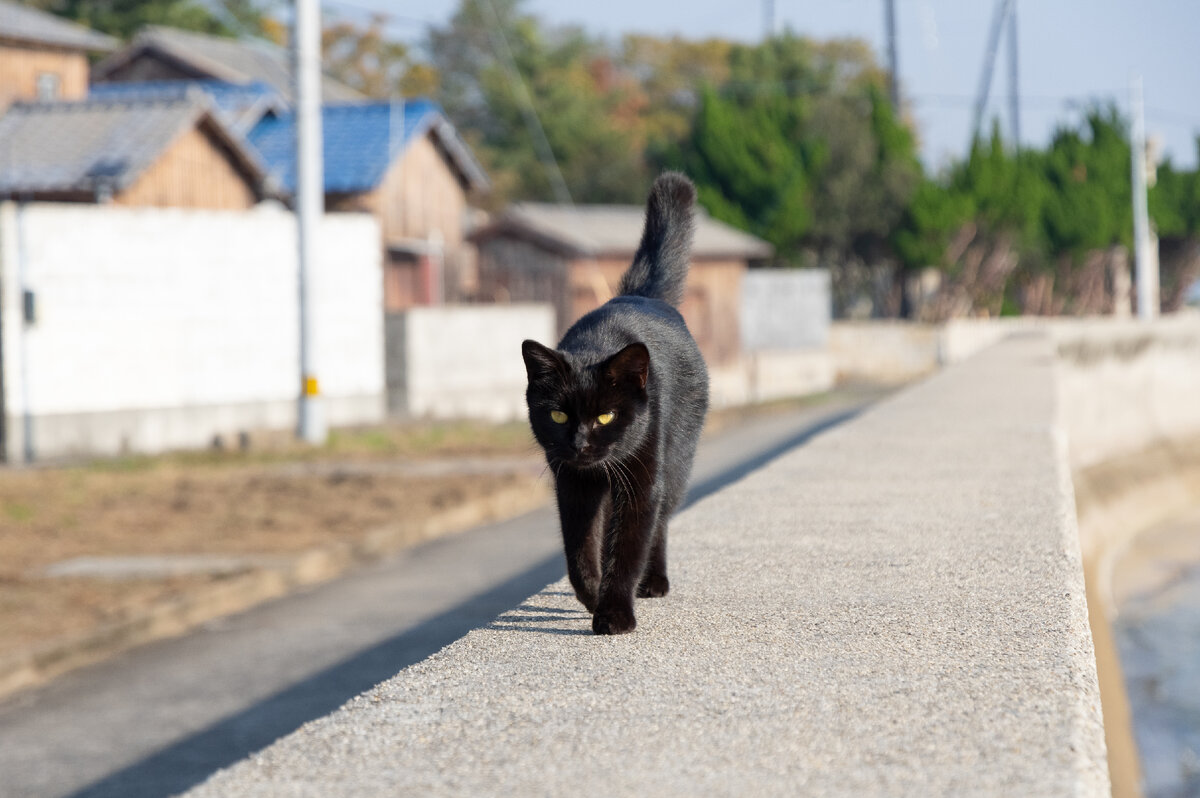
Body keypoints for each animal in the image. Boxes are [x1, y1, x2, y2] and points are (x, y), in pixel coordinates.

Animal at [520, 174, 705, 633]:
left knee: (660, 521)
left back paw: (653, 581)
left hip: (675, 462)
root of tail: (641, 295)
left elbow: (629, 546)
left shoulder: (641, 479)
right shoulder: (572, 483)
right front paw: (592, 596)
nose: (580, 443)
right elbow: (580, 550)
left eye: (606, 415)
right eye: (558, 414)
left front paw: (615, 613)